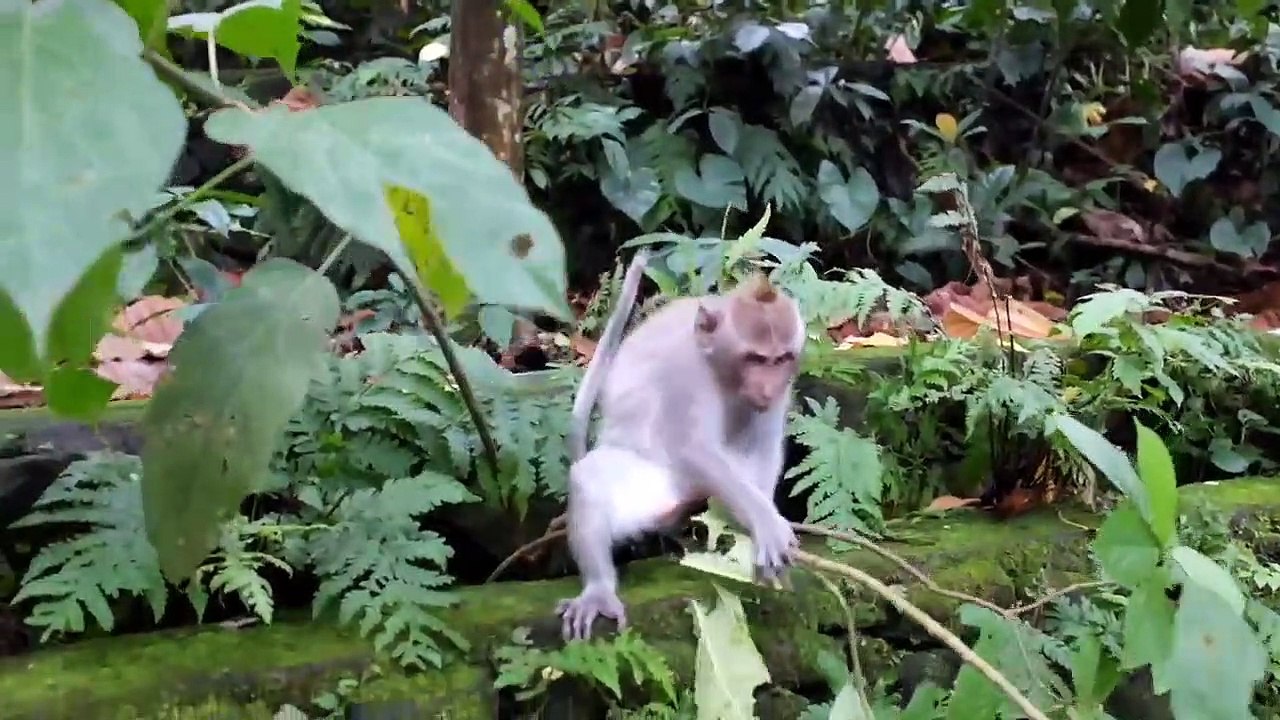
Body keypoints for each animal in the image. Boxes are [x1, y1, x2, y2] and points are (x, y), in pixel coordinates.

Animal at [556, 254, 806, 641]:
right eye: (755, 358)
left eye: (781, 359)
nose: (767, 388)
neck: (719, 366)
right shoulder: (687, 372)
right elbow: (694, 447)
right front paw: (766, 523)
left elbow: (764, 446)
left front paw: (758, 526)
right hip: (653, 485)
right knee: (590, 477)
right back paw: (598, 590)